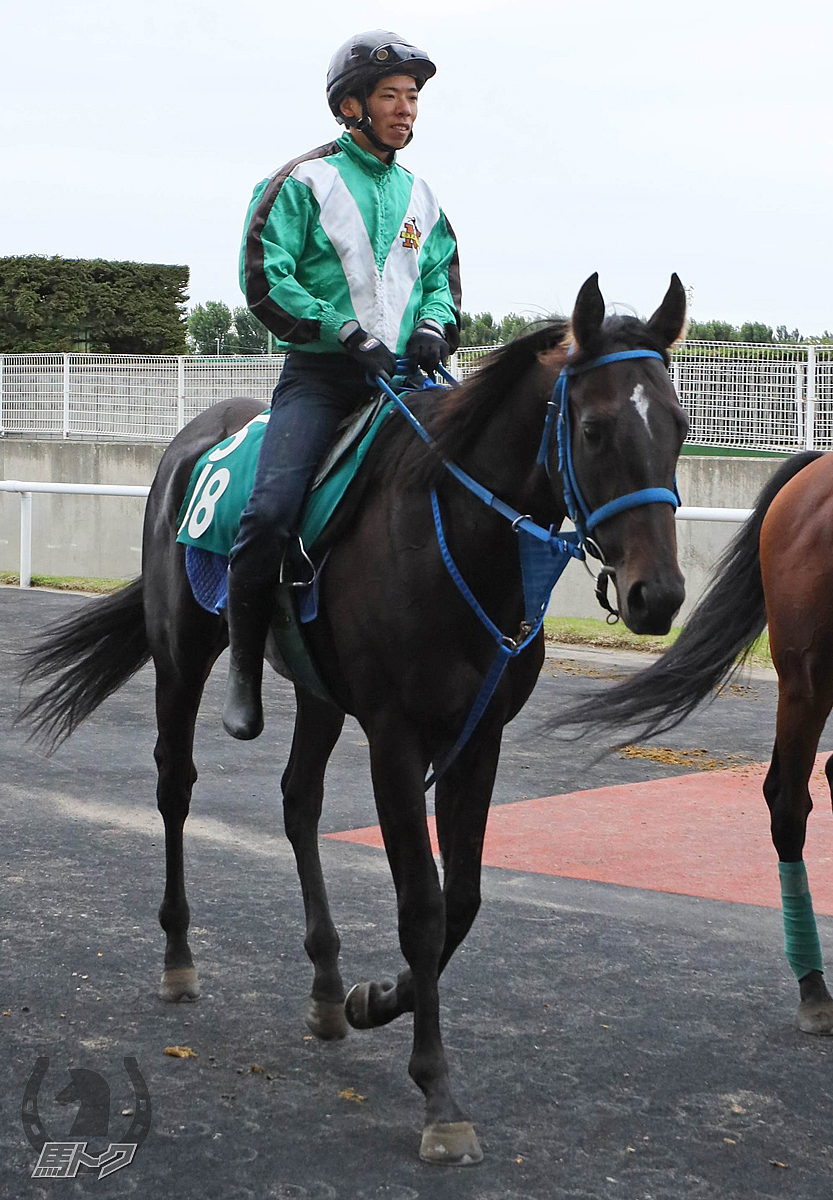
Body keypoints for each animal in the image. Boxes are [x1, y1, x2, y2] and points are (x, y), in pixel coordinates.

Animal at [19, 272, 686, 1161]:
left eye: (679, 426)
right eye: (594, 427)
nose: (659, 595)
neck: (453, 535)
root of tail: (191, 441)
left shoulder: (478, 738)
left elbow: (461, 900)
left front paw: (374, 999)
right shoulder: (396, 740)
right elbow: (422, 906)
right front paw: (438, 1093)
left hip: (317, 694)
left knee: (298, 802)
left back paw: (328, 984)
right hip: (181, 654)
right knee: (175, 787)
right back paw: (179, 955)